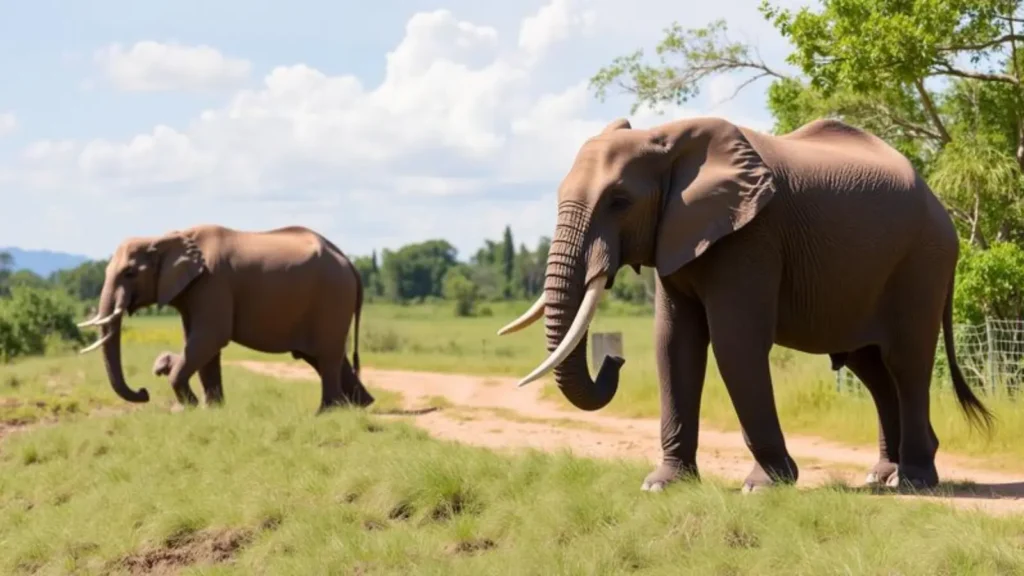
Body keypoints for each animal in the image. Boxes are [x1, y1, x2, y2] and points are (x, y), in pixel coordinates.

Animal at [76, 224, 375, 413]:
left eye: (129, 273)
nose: (144, 392)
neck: (166, 238)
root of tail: (351, 264)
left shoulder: (212, 283)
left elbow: (210, 338)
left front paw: (189, 406)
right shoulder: (194, 290)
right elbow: (203, 347)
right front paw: (211, 410)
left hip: (332, 298)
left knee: (326, 357)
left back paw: (327, 413)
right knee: (325, 357)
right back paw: (359, 406)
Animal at [498, 115, 994, 492]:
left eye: (619, 201)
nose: (614, 360)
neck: (666, 138)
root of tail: (939, 204)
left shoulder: (751, 237)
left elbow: (735, 343)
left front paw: (764, 486)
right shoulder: (677, 235)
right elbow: (673, 344)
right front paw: (662, 484)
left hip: (921, 262)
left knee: (906, 363)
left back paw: (914, 481)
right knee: (870, 368)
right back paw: (882, 477)